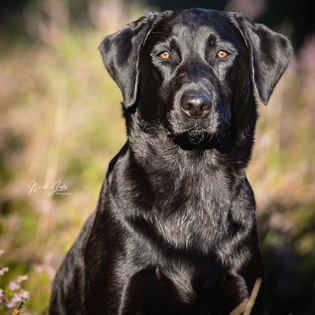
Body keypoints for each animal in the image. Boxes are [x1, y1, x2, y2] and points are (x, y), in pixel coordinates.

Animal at [50, 8, 294, 314]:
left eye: (223, 53)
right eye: (164, 54)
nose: (196, 106)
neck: (192, 175)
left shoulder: (245, 291)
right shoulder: (121, 288)